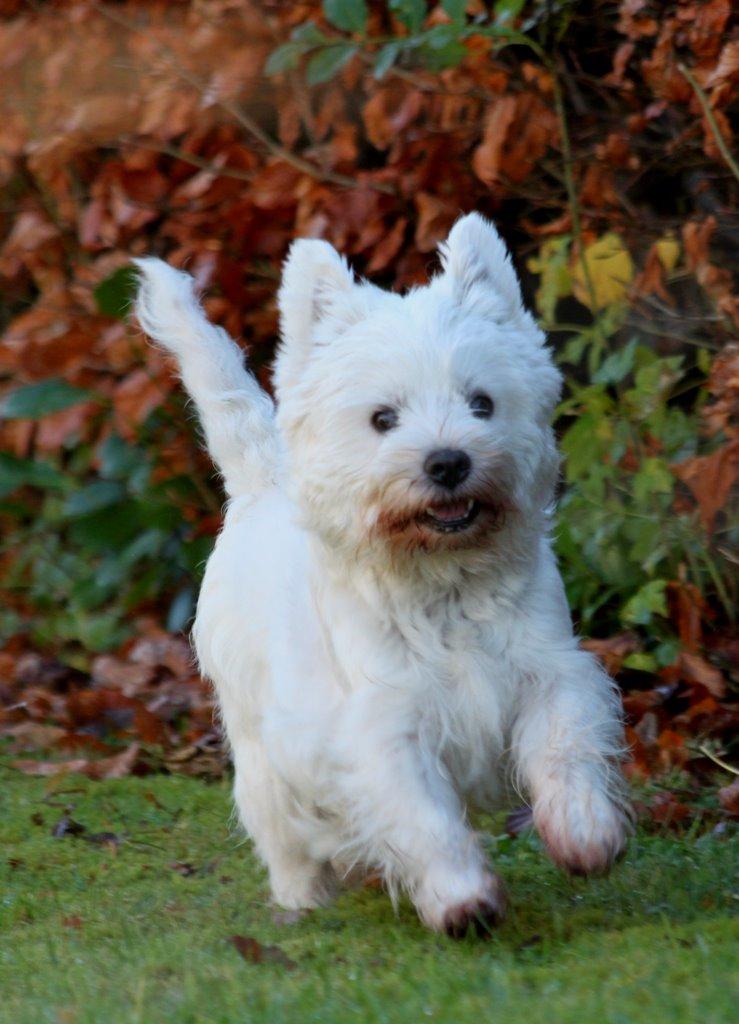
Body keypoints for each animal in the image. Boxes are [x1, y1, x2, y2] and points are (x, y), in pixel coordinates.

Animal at [132, 216, 626, 937]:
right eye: (382, 418)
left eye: (481, 403)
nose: (447, 462)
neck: (441, 578)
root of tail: (261, 482)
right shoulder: (382, 725)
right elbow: (422, 815)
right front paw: (461, 899)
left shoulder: (547, 670)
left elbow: (565, 745)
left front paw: (584, 833)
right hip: (257, 741)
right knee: (278, 826)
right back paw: (303, 899)